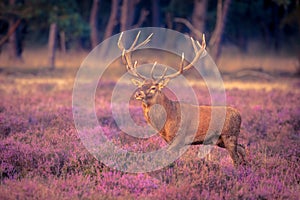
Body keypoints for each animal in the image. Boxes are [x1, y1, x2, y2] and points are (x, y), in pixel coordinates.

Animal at [117, 30, 246, 166]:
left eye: (153, 88)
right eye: (141, 85)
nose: (138, 94)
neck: (166, 120)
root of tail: (239, 115)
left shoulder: (179, 139)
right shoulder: (169, 140)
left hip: (229, 135)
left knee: (236, 158)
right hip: (221, 141)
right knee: (242, 149)